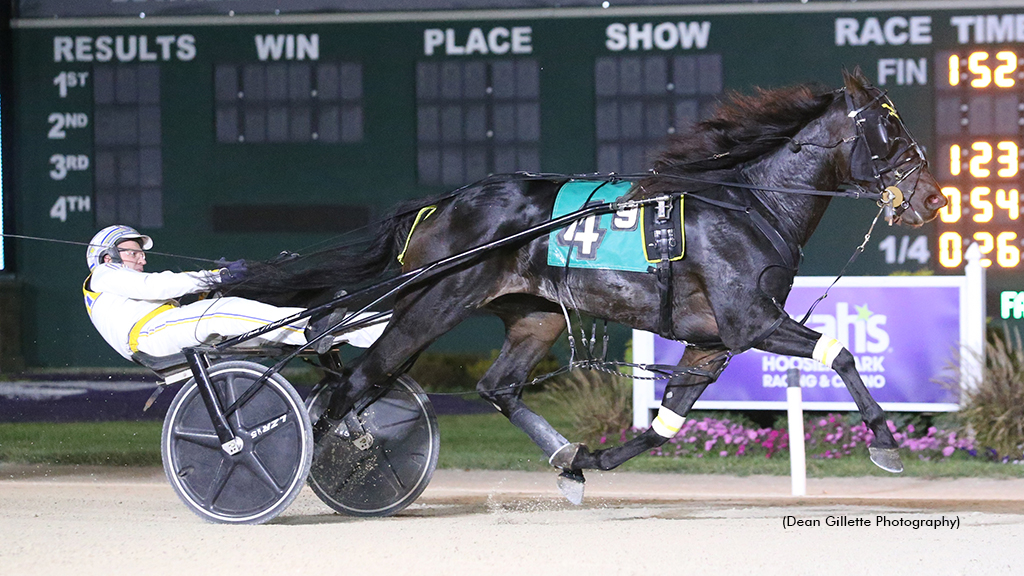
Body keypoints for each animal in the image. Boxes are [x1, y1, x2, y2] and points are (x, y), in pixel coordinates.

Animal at [224, 68, 942, 498]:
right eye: (888, 128)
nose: (932, 199)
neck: (750, 204)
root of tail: (441, 204)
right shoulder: (753, 322)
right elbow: (841, 354)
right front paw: (886, 445)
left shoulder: (712, 341)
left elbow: (665, 425)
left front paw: (588, 461)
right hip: (433, 301)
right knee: (357, 379)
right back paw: (285, 465)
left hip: (534, 314)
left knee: (494, 386)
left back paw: (560, 453)